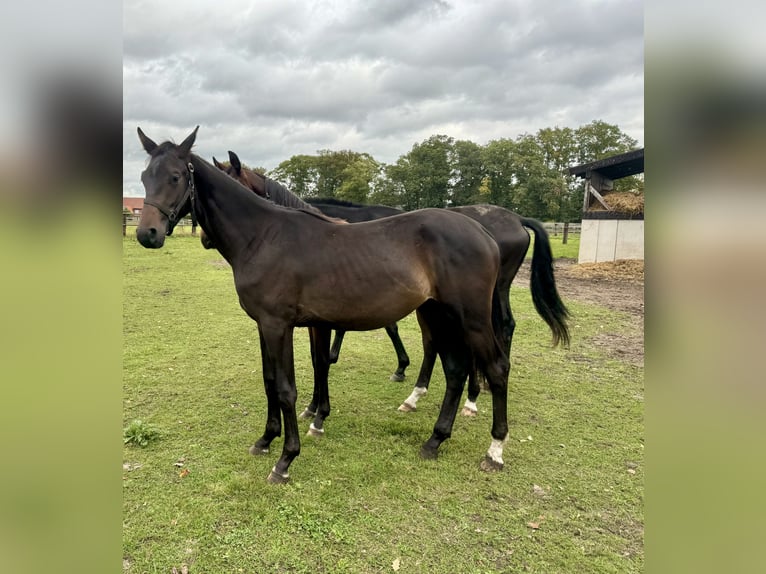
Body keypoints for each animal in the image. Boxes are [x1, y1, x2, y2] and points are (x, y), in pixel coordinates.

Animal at [136, 127, 512, 486]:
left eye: (174, 176)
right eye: (143, 177)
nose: (147, 234)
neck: (263, 236)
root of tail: (483, 230)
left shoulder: (279, 325)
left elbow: (287, 388)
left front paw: (286, 460)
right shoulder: (265, 325)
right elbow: (271, 379)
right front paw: (266, 440)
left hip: (471, 319)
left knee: (496, 369)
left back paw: (494, 451)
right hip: (438, 314)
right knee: (456, 371)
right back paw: (434, 440)